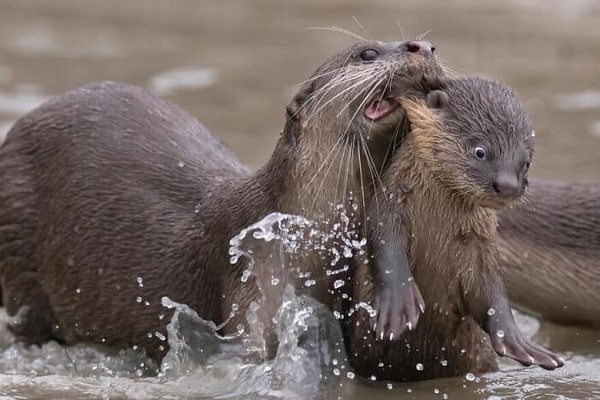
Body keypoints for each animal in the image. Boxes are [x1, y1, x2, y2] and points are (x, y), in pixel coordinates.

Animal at [350, 76, 564, 382]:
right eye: (481, 151)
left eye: (526, 162)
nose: (508, 185)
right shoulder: (390, 206)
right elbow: (385, 246)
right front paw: (398, 303)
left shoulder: (479, 242)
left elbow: (490, 290)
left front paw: (517, 340)